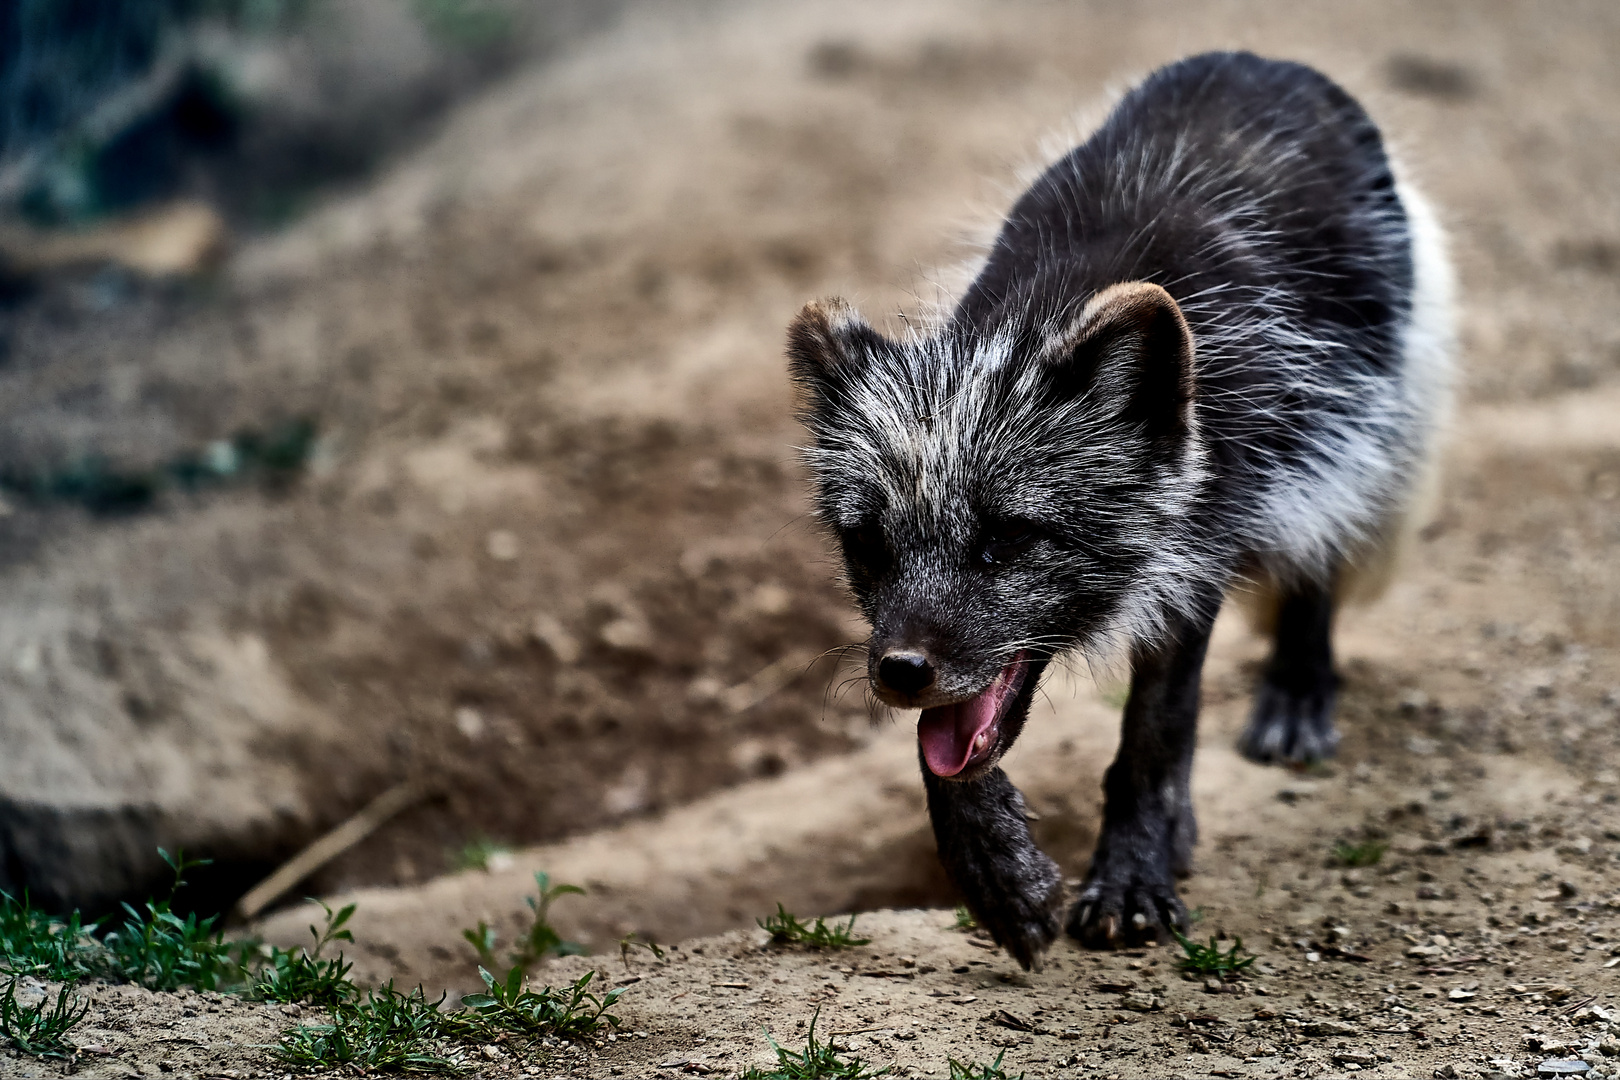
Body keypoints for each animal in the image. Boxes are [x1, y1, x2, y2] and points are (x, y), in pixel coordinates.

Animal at [784, 52, 1458, 971]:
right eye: (869, 546)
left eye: (1008, 539)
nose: (898, 675)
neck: (1040, 314)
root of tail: (1266, 62)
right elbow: (944, 751)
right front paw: (997, 874)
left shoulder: (1198, 550)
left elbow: (1155, 734)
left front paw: (1134, 876)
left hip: (1357, 428)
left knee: (1322, 554)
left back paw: (1295, 695)